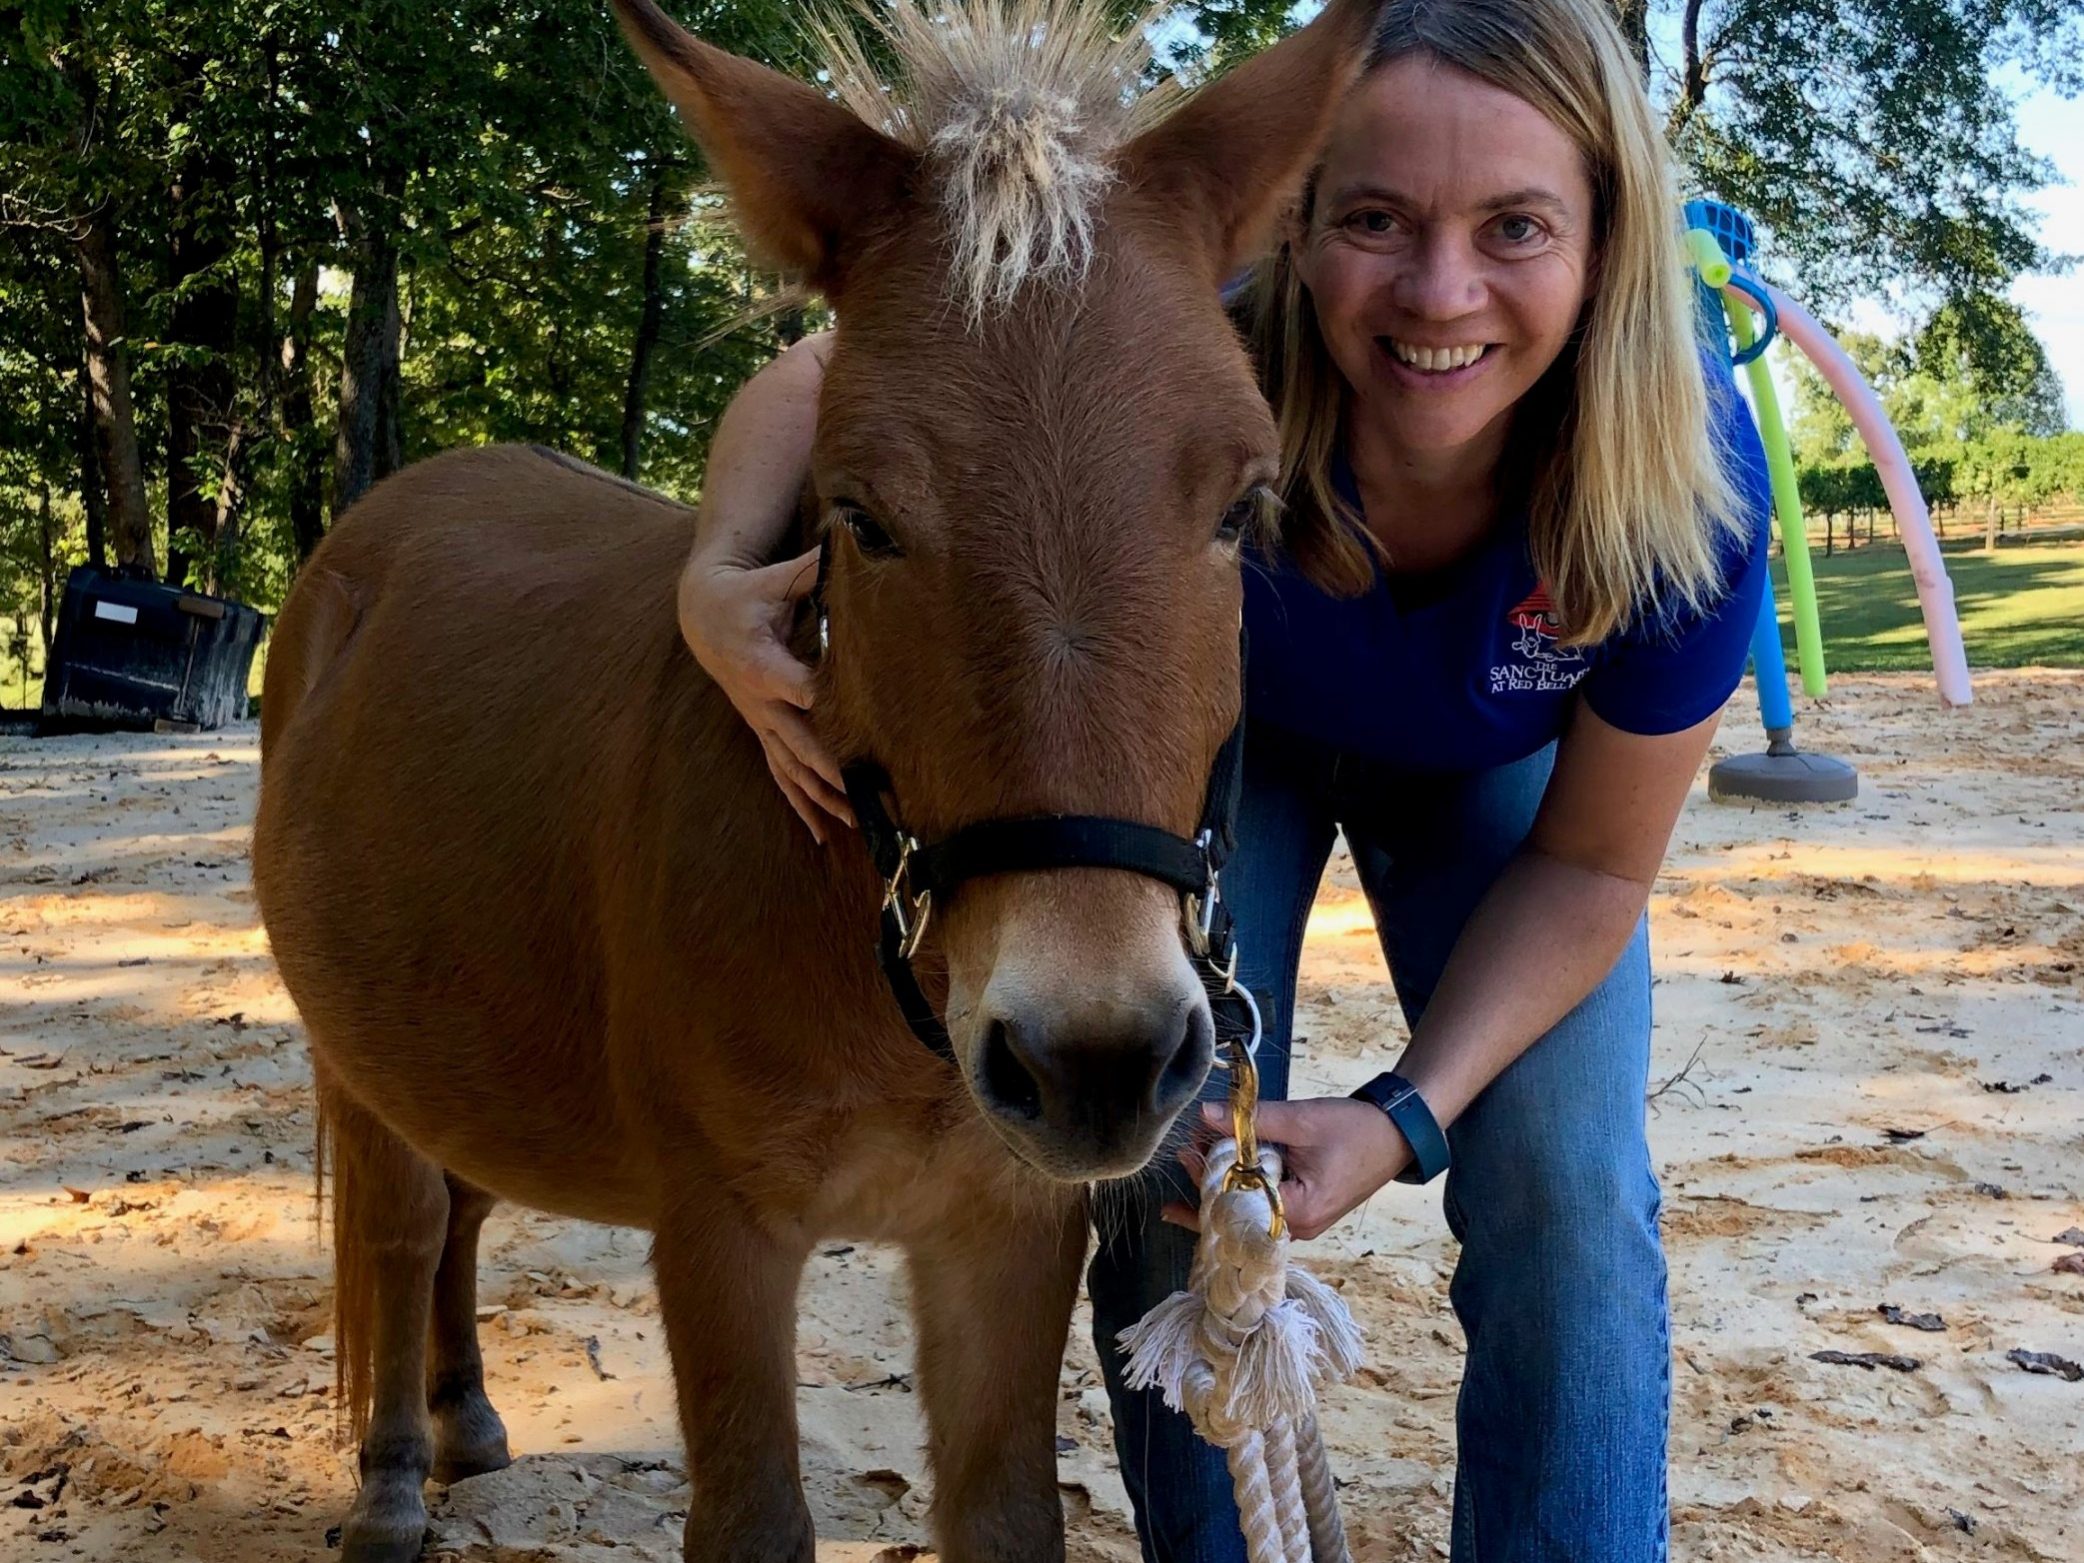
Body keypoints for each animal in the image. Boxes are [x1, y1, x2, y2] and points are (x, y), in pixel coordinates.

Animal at [251, 2, 1375, 1559]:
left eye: (1238, 507)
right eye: (861, 516)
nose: (1091, 1057)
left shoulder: (1005, 1236)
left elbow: (1007, 1515)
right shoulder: (720, 1235)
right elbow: (753, 1515)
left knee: (462, 1207)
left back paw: (467, 1417)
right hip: (358, 1050)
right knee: (403, 1219)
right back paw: (392, 1475)